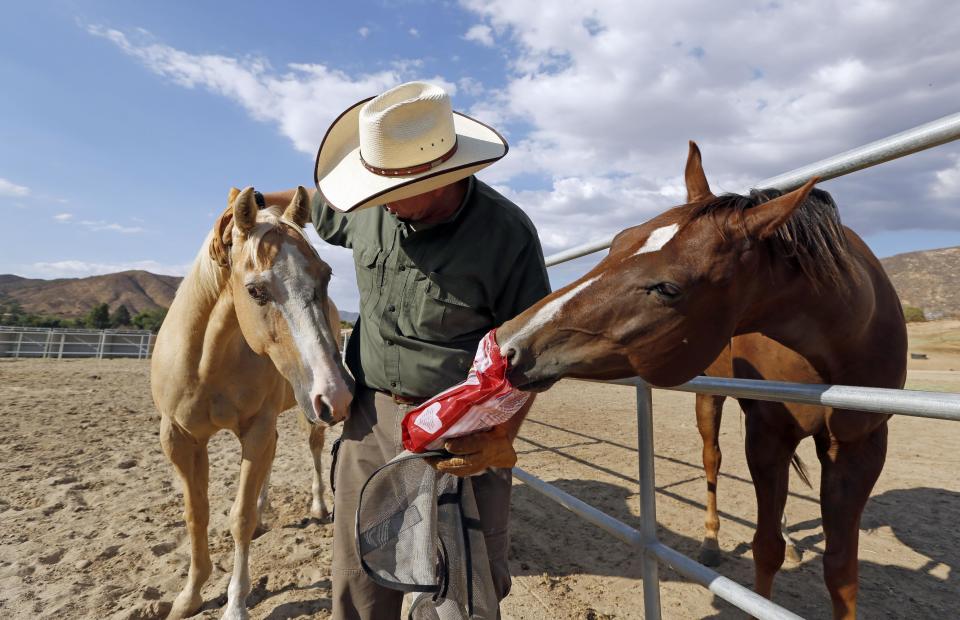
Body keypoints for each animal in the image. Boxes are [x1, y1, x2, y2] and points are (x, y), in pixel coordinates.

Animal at [152, 186, 354, 616]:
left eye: (327, 275)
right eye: (255, 290)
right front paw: (189, 596)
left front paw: (235, 604)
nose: (339, 395)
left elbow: (239, 517)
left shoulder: (257, 428)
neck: (206, 363)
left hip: (305, 414)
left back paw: (318, 506)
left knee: (312, 451)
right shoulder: (178, 438)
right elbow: (196, 514)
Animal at [498, 143, 912, 616]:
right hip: (711, 400)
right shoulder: (767, 434)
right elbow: (764, 547)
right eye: (619, 241)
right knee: (712, 459)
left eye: (667, 288)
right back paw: (711, 541)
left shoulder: (861, 448)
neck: (847, 332)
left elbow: (841, 571)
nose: (510, 342)